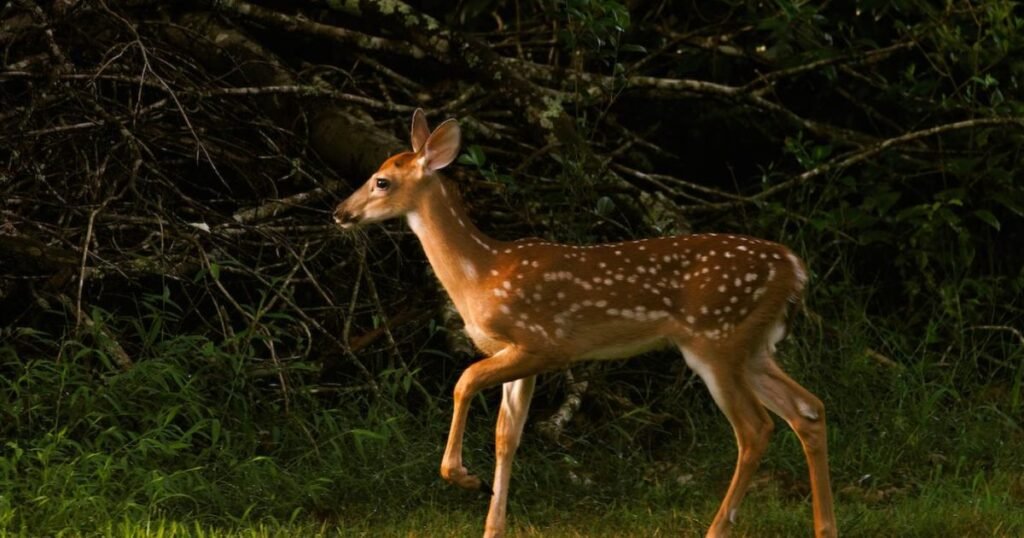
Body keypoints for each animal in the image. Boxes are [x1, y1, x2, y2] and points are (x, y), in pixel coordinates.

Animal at [334, 109, 836, 538]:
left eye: (381, 181)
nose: (340, 213)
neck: (481, 274)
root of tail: (795, 268)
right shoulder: (518, 357)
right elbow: (507, 436)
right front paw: (492, 524)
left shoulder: (543, 343)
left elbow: (464, 381)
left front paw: (462, 476)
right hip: (752, 346)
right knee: (808, 409)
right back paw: (824, 527)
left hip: (716, 339)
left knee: (755, 429)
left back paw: (718, 529)